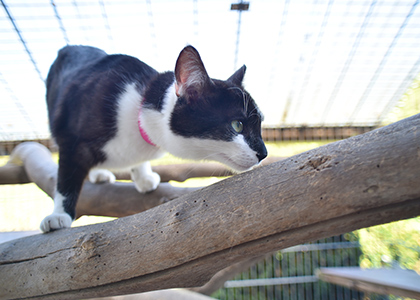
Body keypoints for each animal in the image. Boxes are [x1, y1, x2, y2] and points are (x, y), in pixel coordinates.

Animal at [41, 45, 268, 232]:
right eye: (237, 125)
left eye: (260, 125)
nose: (264, 153)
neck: (138, 110)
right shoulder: (72, 138)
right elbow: (67, 175)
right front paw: (59, 215)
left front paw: (143, 177)